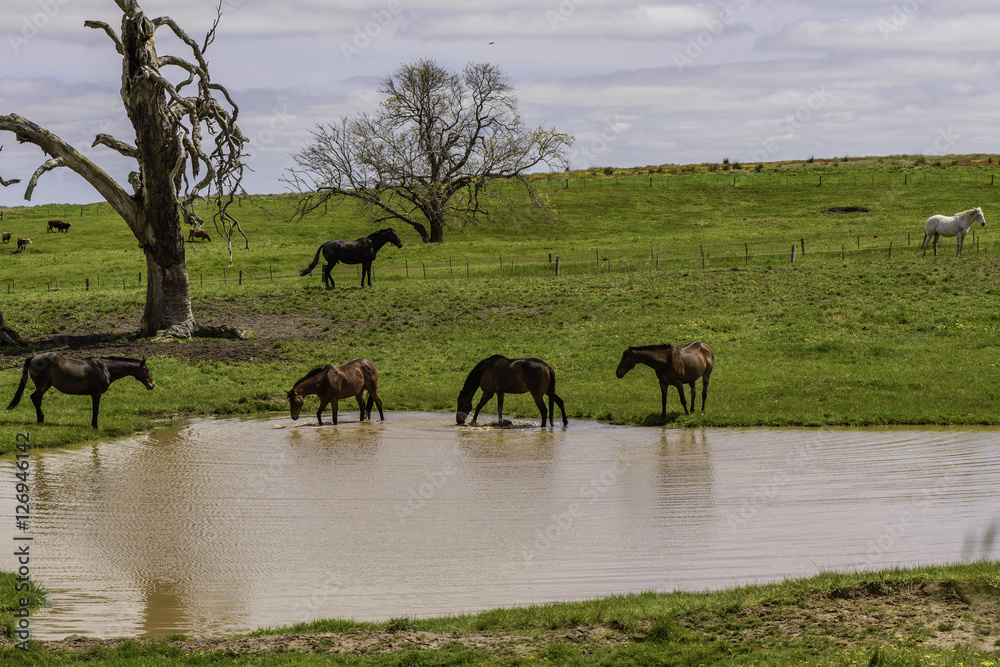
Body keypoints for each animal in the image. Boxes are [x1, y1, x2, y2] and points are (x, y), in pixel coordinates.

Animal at [6, 352, 154, 429]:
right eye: (146, 370)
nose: (152, 385)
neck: (105, 368)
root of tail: (34, 357)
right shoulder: (96, 393)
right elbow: (96, 410)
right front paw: (95, 426)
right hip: (42, 385)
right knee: (36, 399)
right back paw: (41, 419)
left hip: (46, 385)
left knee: (35, 398)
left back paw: (40, 419)